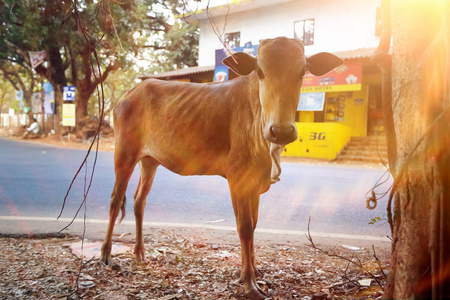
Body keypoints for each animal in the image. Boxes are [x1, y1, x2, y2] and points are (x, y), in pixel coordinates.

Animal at [101, 36, 342, 298]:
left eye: (302, 71)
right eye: (260, 71)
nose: (281, 131)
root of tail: (131, 94)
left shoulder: (255, 183)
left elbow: (254, 225)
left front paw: (254, 270)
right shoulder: (238, 179)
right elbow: (244, 227)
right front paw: (249, 282)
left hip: (150, 161)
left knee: (138, 201)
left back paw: (139, 253)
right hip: (124, 153)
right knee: (115, 200)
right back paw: (105, 254)